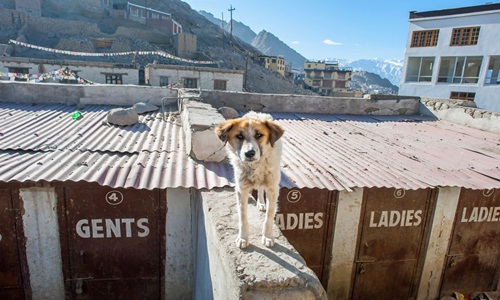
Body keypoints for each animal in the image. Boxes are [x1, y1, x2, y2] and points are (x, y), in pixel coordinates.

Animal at [215, 111, 286, 247]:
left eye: (259, 135)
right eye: (239, 136)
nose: (249, 153)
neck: (255, 166)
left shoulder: (272, 188)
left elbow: (269, 216)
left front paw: (267, 236)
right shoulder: (241, 188)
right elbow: (242, 217)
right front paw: (243, 238)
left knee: (260, 190)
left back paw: (261, 203)